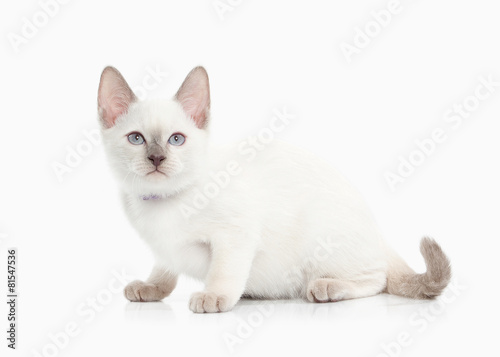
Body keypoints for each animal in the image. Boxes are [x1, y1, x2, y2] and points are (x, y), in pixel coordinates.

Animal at [95, 65, 452, 312]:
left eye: (176, 139)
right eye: (137, 139)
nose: (157, 158)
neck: (162, 203)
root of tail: (378, 231)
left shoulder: (234, 235)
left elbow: (223, 272)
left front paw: (214, 297)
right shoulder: (165, 249)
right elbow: (163, 273)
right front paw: (150, 289)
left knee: (377, 279)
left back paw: (326, 288)